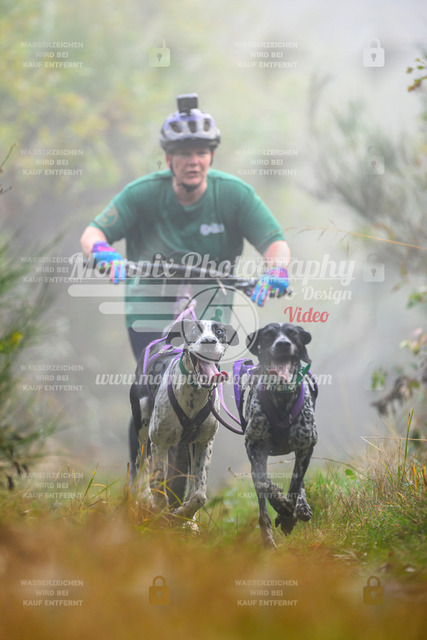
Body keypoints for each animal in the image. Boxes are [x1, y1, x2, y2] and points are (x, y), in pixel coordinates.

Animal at [130, 318, 238, 520]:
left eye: (219, 331)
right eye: (195, 330)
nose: (209, 341)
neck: (194, 395)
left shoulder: (204, 442)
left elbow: (199, 494)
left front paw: (184, 514)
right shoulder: (159, 443)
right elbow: (159, 485)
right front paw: (161, 513)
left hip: (190, 445)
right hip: (142, 426)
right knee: (141, 463)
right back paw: (143, 496)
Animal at [243, 322, 318, 547]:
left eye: (293, 334)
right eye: (268, 335)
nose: (283, 344)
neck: (281, 397)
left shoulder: (306, 447)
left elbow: (295, 484)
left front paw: (289, 513)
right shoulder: (254, 446)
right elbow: (265, 482)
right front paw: (282, 507)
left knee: (299, 484)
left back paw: (301, 507)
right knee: (262, 507)